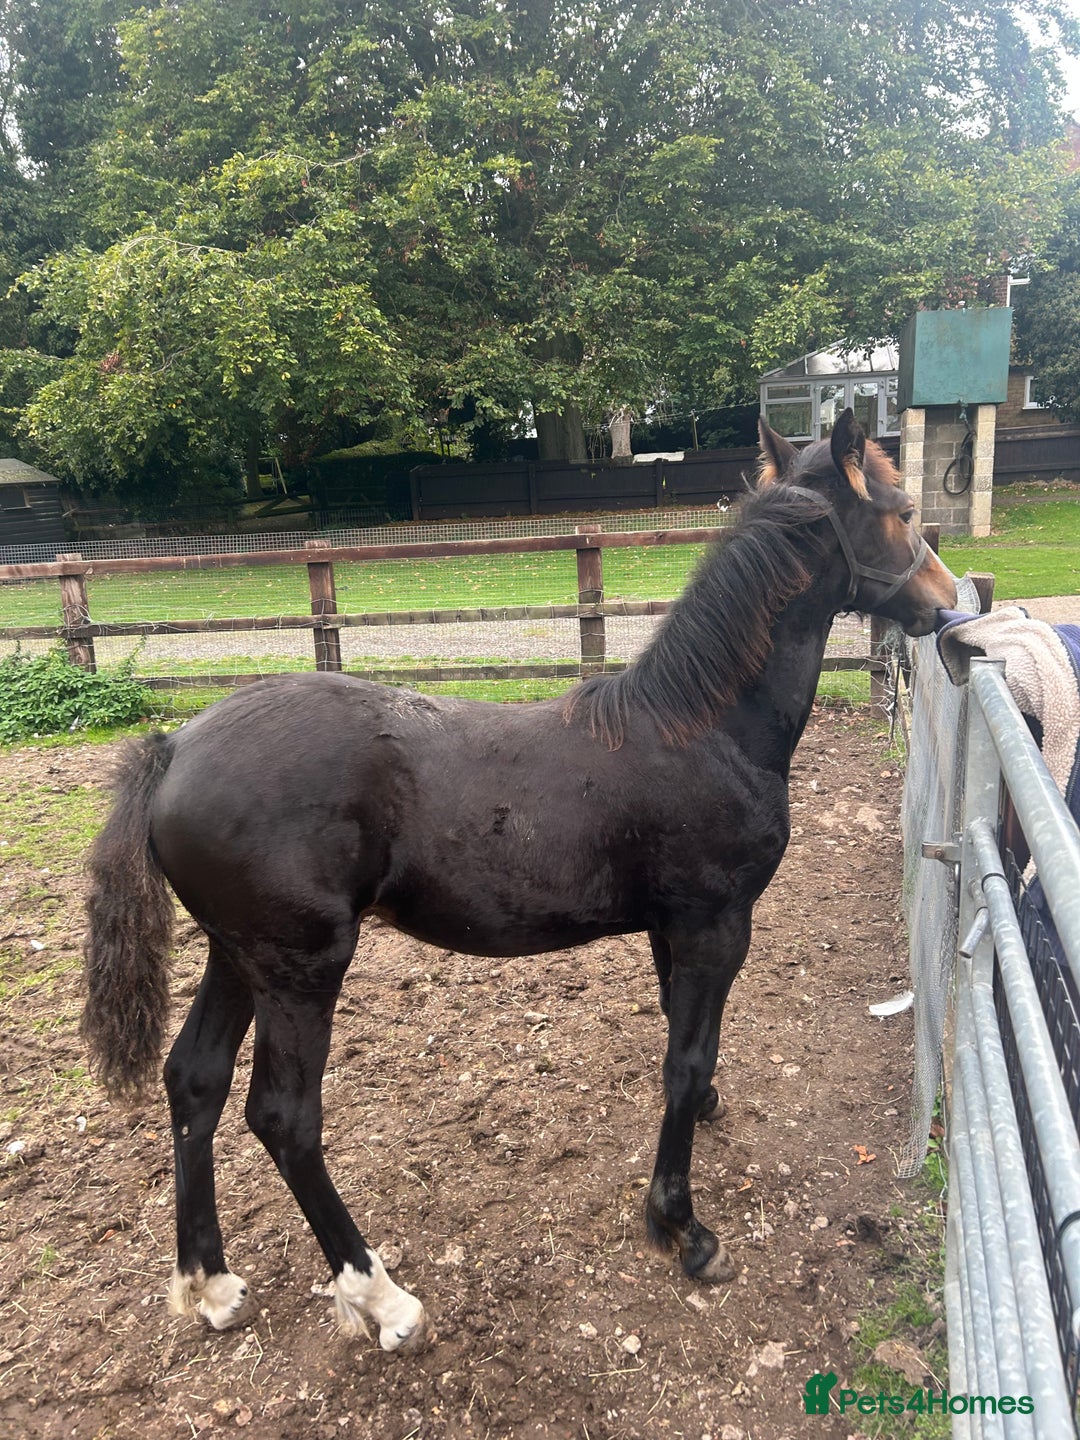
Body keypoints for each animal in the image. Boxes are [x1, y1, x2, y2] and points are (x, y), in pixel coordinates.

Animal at [81, 409, 957, 1353]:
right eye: (902, 512)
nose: (951, 602)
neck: (704, 727)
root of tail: (172, 748)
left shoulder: (671, 929)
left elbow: (686, 1048)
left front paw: (706, 1123)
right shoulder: (714, 924)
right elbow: (683, 1060)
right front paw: (682, 1227)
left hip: (236, 957)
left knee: (193, 1082)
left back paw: (210, 1285)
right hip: (300, 969)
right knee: (283, 1118)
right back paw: (382, 1297)